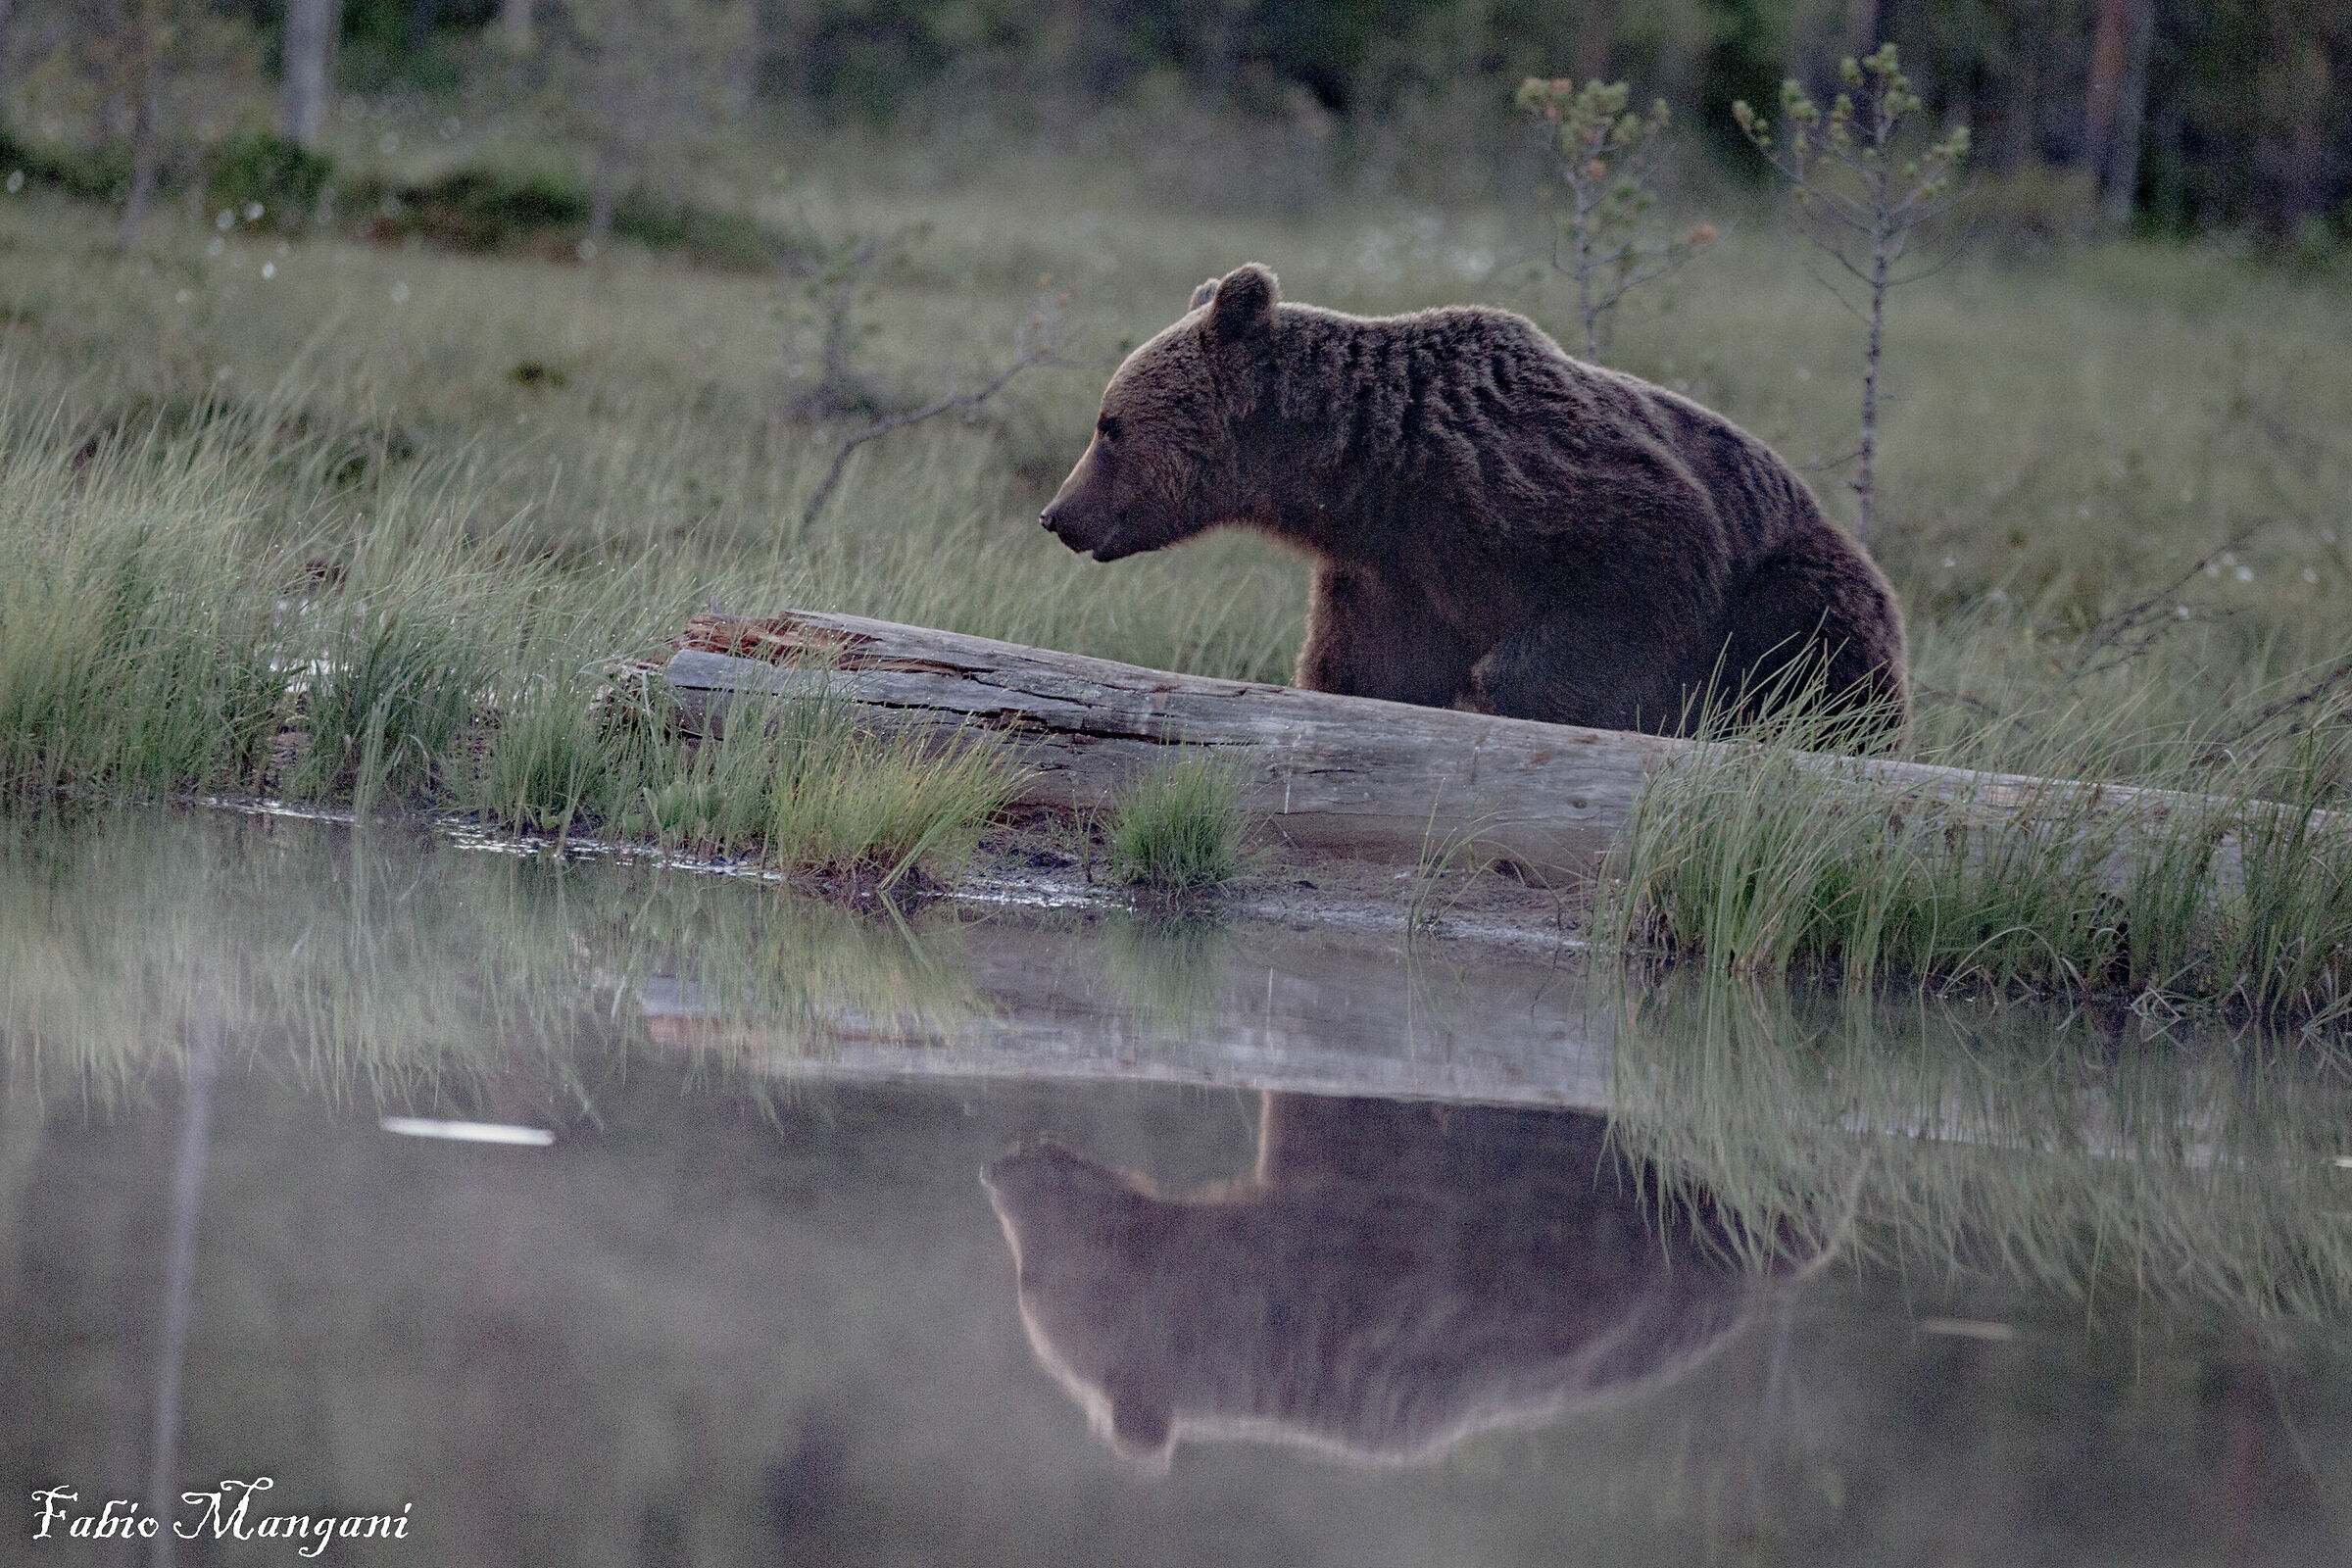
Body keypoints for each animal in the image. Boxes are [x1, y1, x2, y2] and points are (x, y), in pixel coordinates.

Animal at [1040, 263, 1908, 737]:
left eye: (1109, 425)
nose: (1058, 514)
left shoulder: (1562, 498)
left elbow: (1616, 603)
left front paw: (1509, 692)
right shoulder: (1392, 578)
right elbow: (1366, 675)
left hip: (1803, 577)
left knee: (1815, 648)